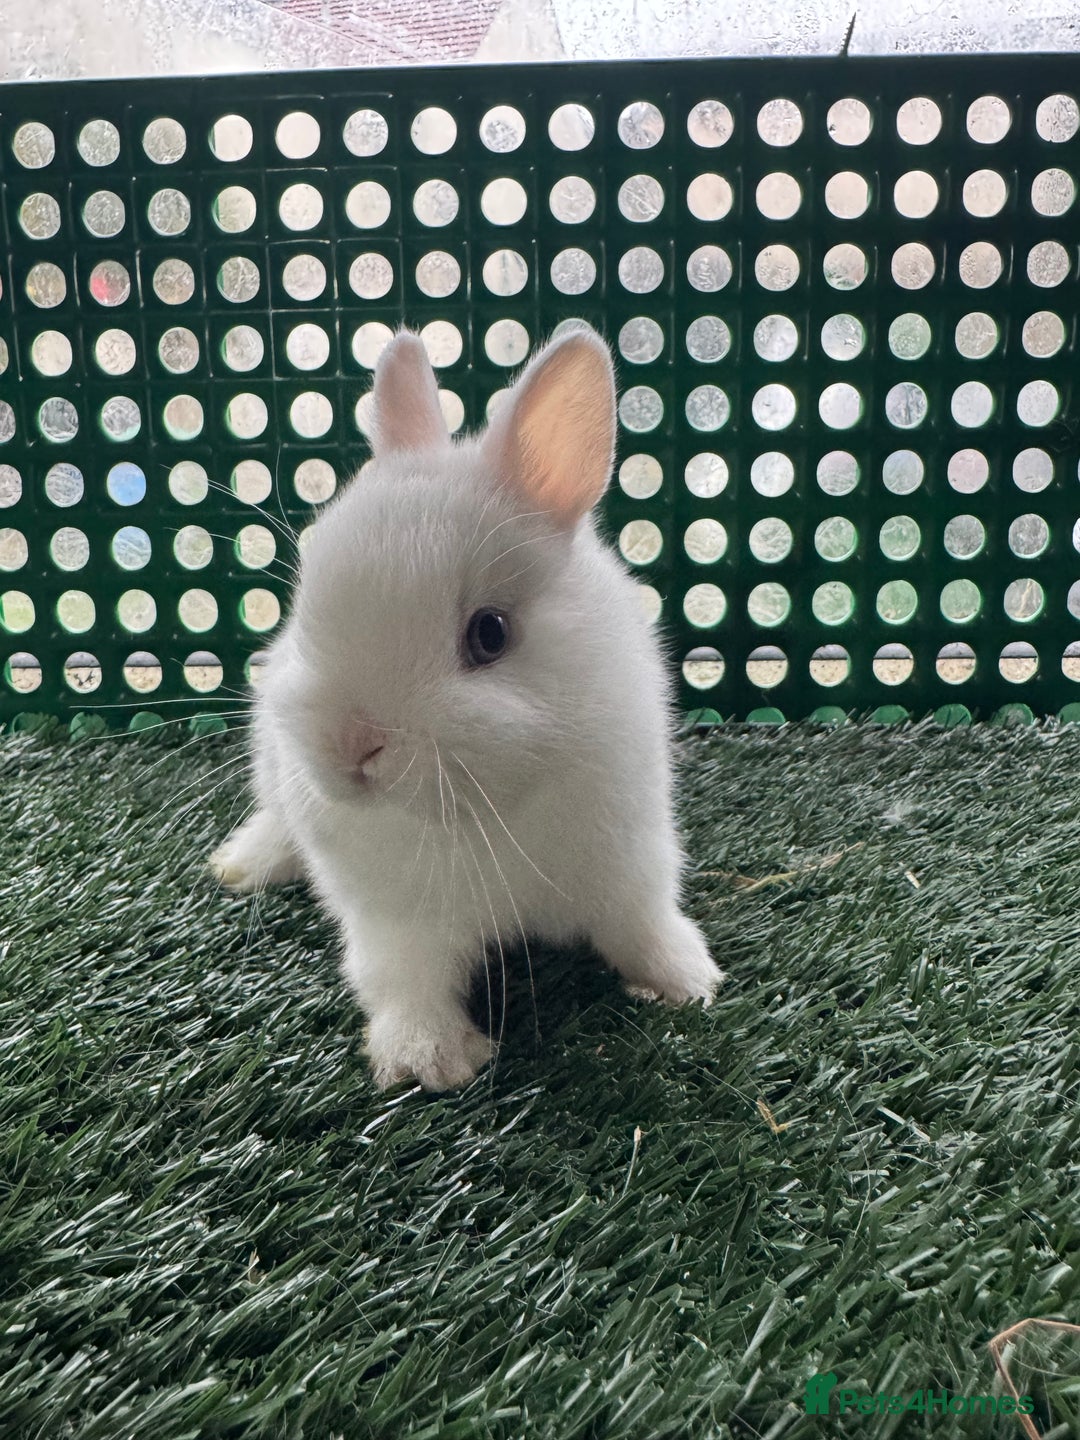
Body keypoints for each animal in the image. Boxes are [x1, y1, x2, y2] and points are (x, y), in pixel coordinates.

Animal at [210, 325, 722, 1091]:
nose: (352, 745)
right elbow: (404, 980)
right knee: (276, 822)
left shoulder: (632, 861)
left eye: (490, 634)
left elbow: (642, 925)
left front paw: (686, 982)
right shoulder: (392, 921)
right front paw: (432, 1059)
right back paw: (241, 865)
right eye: (307, 606)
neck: (485, 814)